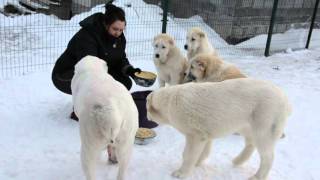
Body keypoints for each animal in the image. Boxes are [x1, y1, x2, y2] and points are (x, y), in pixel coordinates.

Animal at [146, 77, 292, 180]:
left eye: (147, 109)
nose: (147, 117)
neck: (169, 101)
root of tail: (286, 100)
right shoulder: (204, 132)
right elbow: (205, 147)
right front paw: (198, 162)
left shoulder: (194, 133)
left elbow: (188, 153)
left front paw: (180, 173)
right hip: (245, 122)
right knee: (251, 142)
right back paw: (238, 160)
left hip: (265, 118)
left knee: (267, 153)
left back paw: (257, 176)